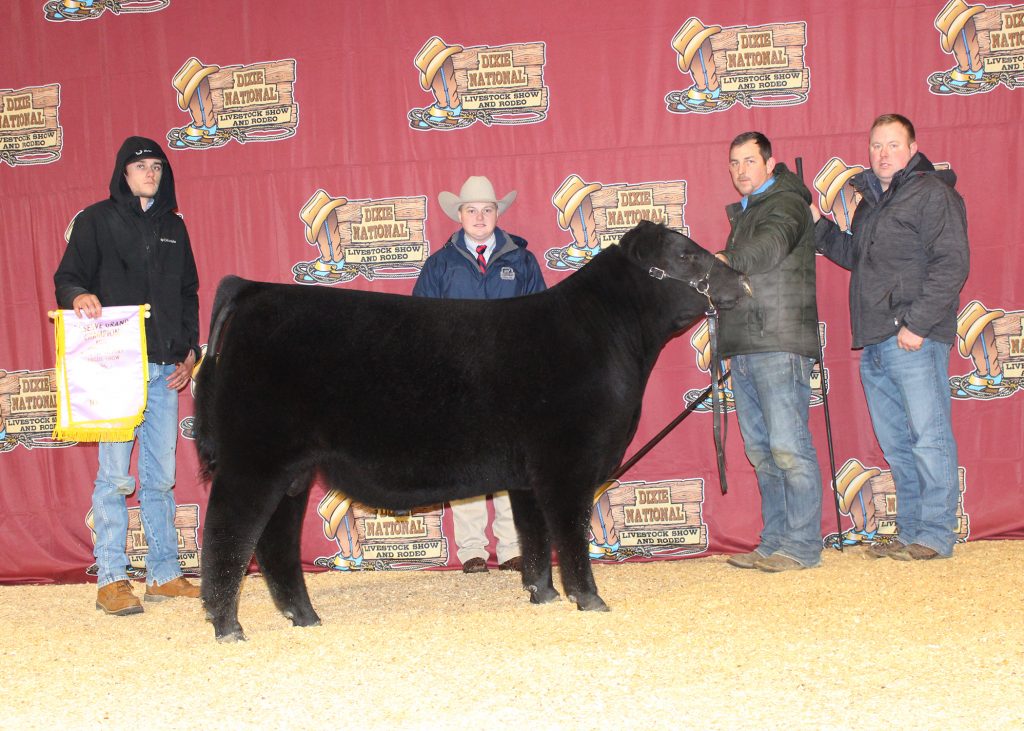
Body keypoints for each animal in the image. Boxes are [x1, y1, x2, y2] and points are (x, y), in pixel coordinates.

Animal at [194, 221, 750, 641]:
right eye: (685, 254)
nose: (741, 280)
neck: (606, 336)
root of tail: (254, 289)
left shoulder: (528, 473)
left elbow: (533, 533)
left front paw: (542, 593)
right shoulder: (566, 463)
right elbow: (569, 532)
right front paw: (589, 598)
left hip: (292, 470)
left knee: (275, 543)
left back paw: (304, 617)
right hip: (254, 461)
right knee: (227, 533)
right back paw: (227, 626)